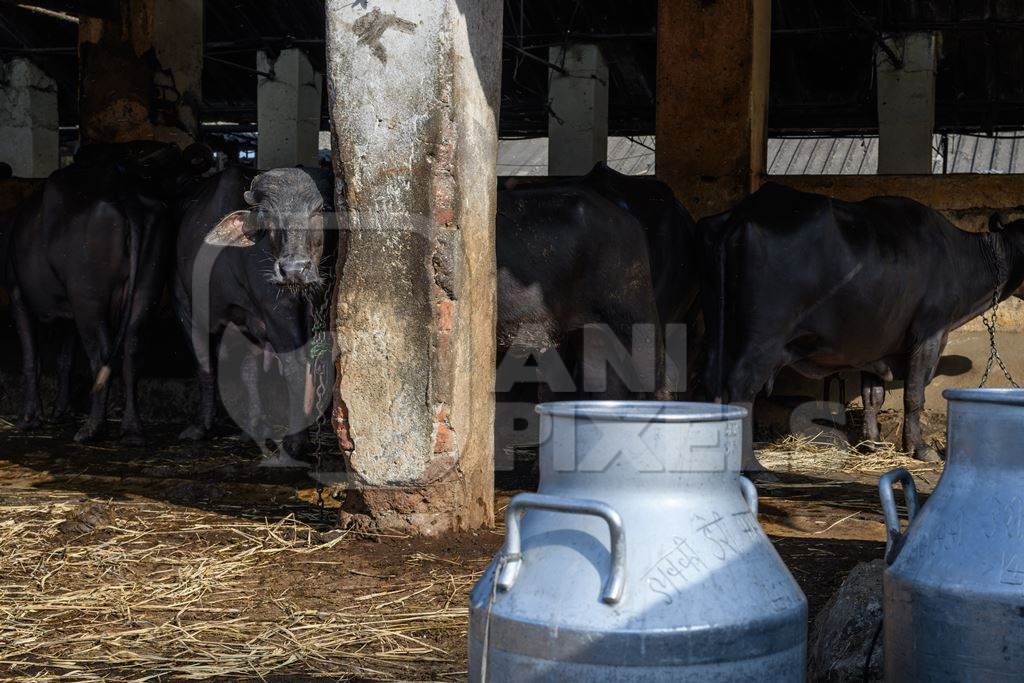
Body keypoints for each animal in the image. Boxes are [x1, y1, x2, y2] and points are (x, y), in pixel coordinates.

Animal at [704, 183, 1024, 458]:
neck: (957, 257)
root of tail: (744, 212)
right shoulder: (929, 333)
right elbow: (914, 394)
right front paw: (919, 447)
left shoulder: (876, 343)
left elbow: (874, 397)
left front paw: (873, 443)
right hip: (762, 340)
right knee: (741, 387)